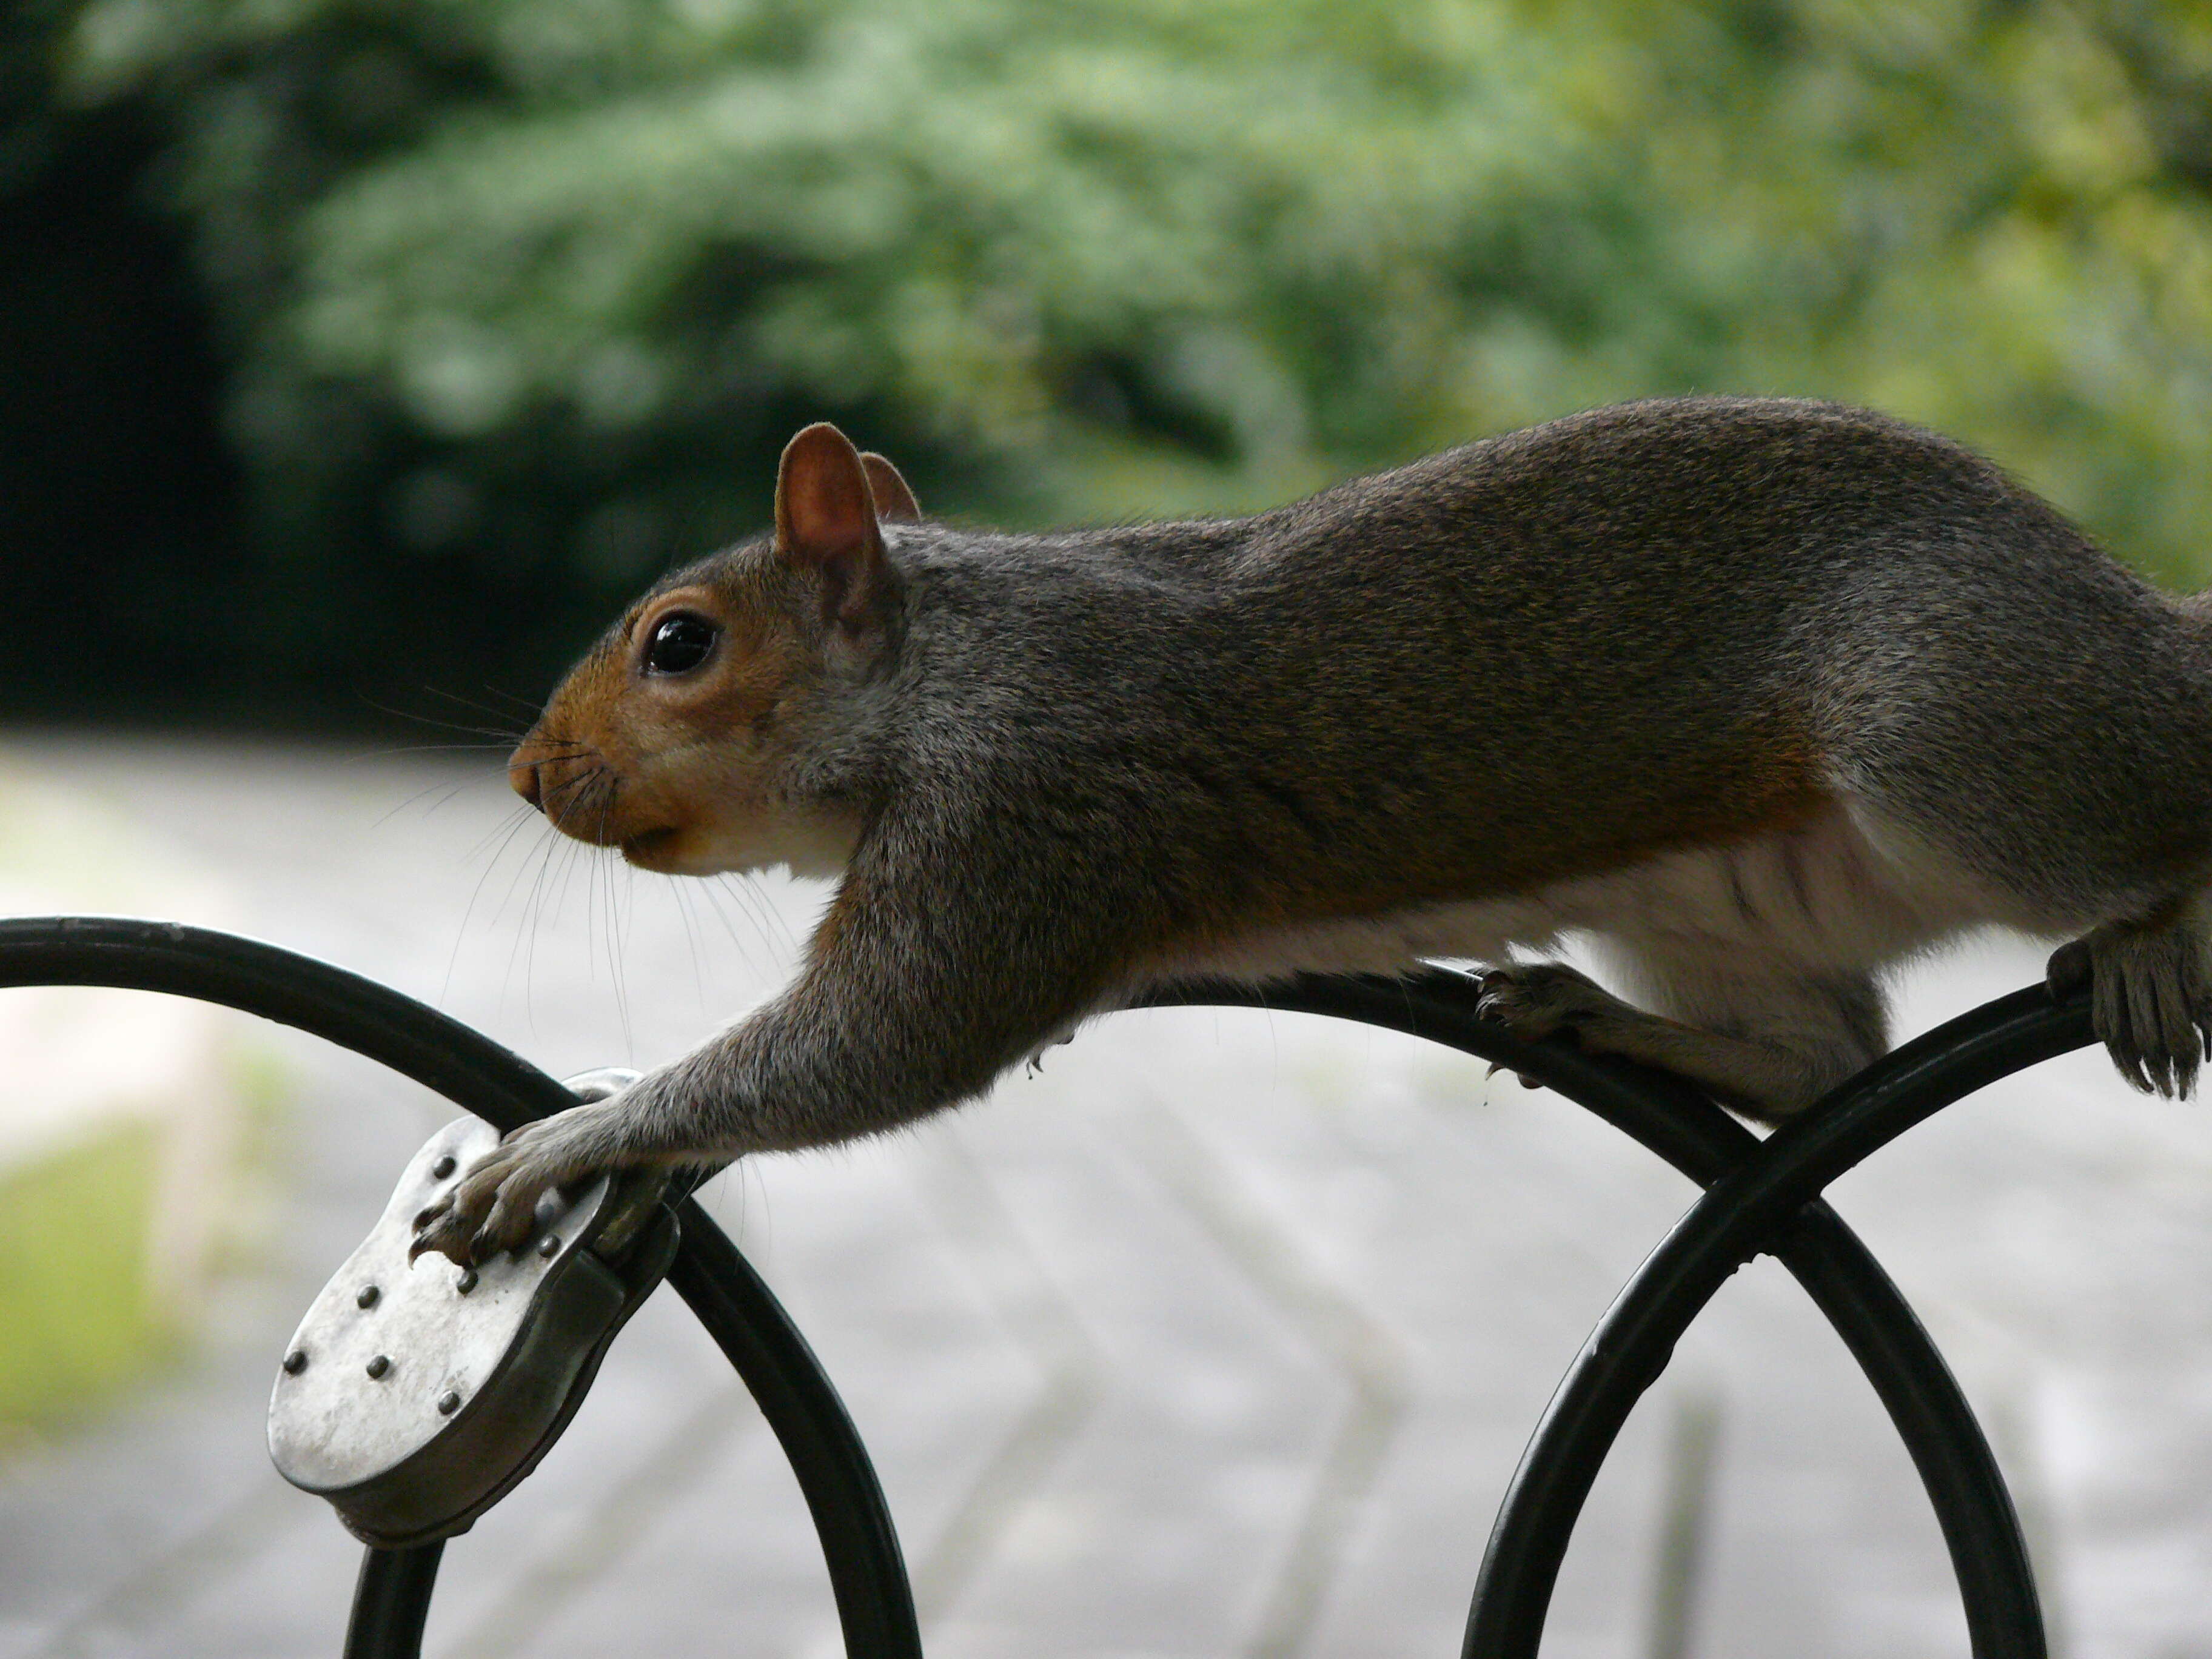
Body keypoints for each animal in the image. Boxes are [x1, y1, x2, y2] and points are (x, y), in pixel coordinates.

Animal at [411, 400, 2212, 1274]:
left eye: (681, 644)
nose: (527, 775)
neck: (949, 666)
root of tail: (2151, 630)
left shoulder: (1026, 815)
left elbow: (871, 1042)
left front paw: (566, 1142)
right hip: (1724, 909)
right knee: (1826, 1055)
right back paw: (1591, 1012)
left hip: (1953, 730)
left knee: (2142, 833)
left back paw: (2147, 942)